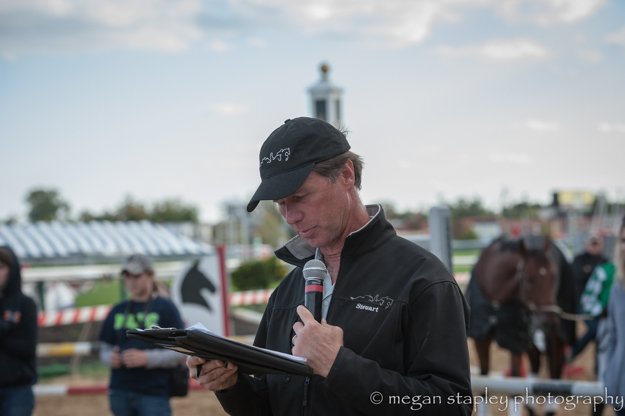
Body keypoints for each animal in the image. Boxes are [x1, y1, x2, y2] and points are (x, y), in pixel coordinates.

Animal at [466, 237, 560, 416]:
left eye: (553, 276)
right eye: (530, 279)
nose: (551, 322)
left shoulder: (515, 341)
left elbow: (514, 384)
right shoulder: (481, 339)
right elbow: (484, 378)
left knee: (554, 364)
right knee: (536, 360)